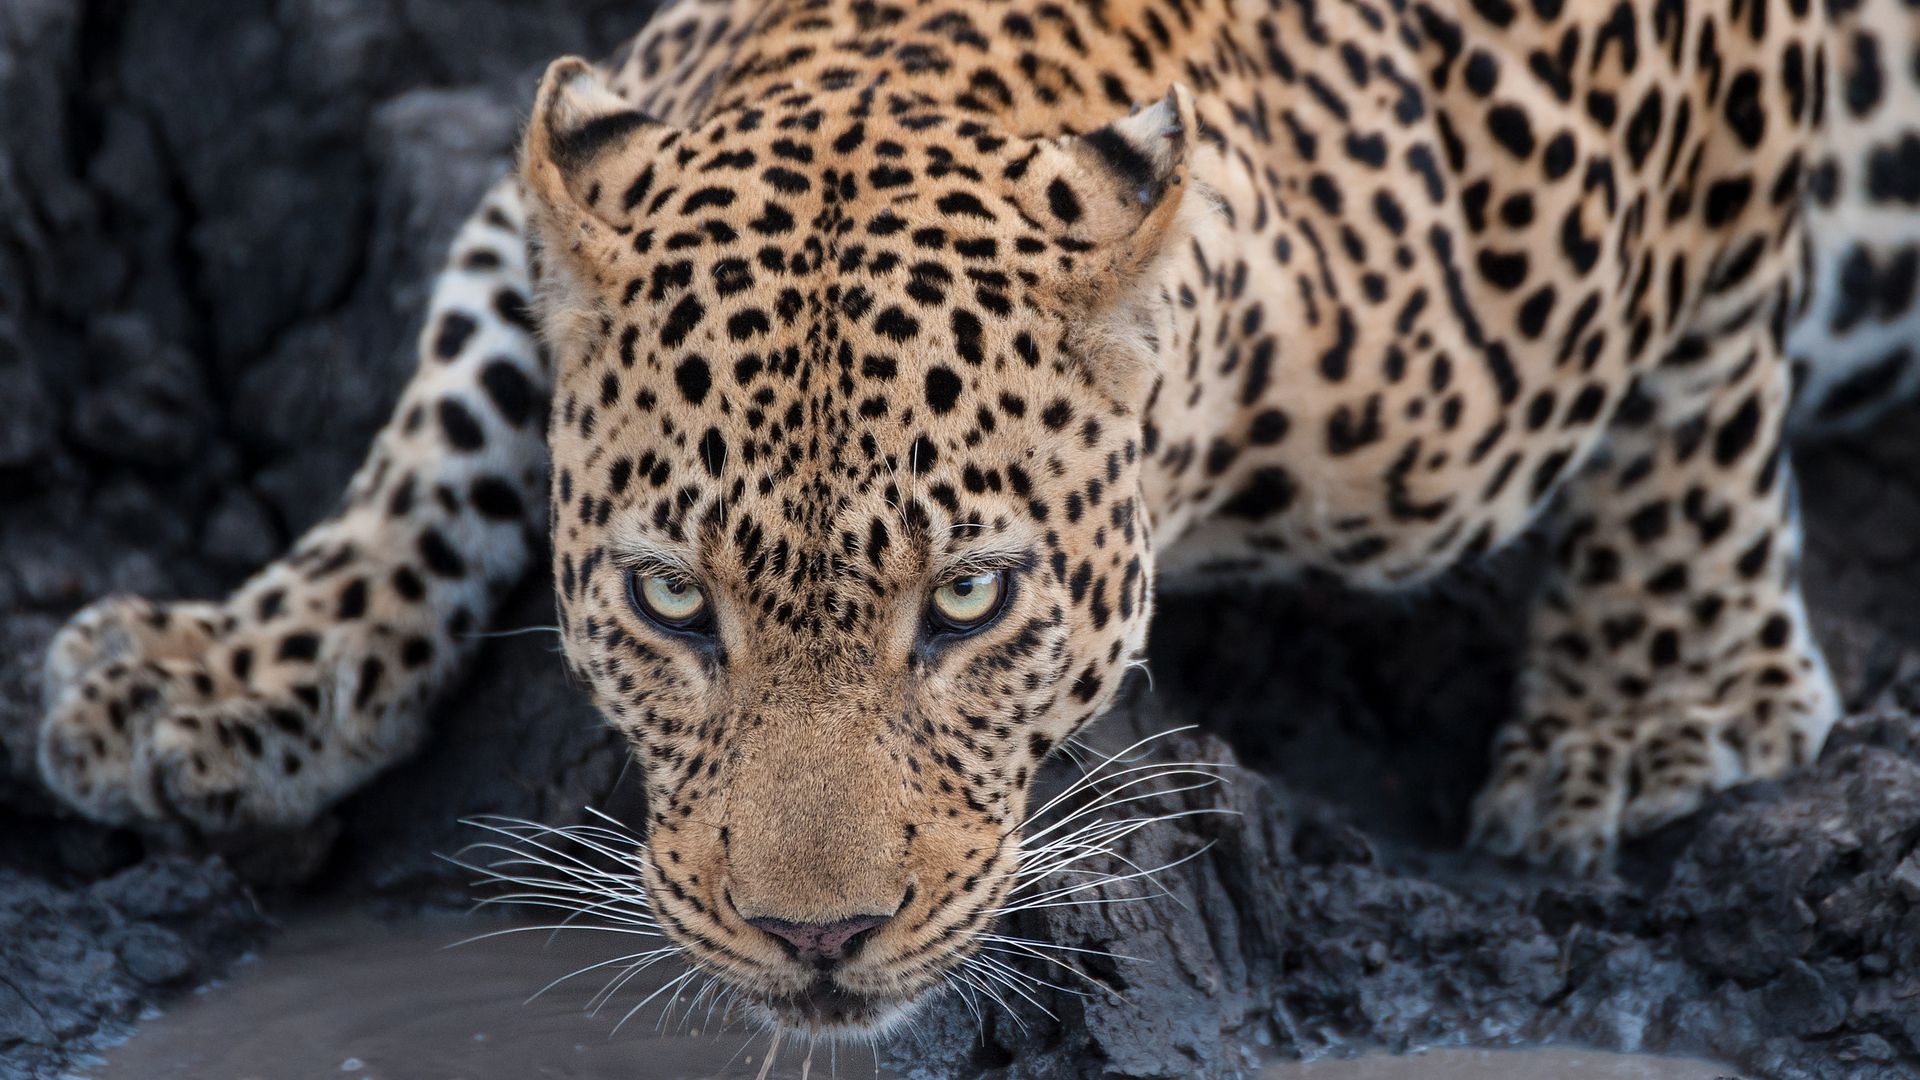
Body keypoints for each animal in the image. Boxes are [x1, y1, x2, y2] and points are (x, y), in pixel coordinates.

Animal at [33, 0, 1920, 1035]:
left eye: (969, 602)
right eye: (668, 603)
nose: (816, 943)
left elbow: (1701, 373)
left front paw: (1661, 704)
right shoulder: (547, 204)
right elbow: (442, 419)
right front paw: (224, 675)